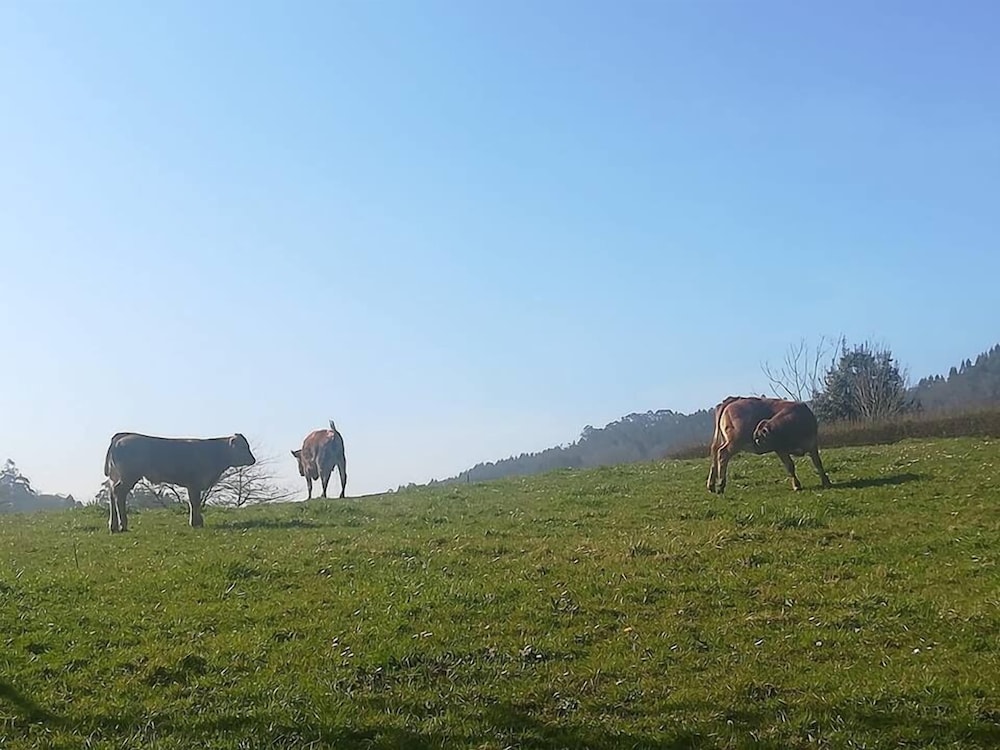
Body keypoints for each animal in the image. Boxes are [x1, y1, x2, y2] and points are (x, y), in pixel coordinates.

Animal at [103, 432, 256, 532]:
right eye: (243, 447)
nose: (253, 460)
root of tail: (122, 436)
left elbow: (194, 502)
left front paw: (196, 521)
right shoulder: (194, 483)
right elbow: (195, 502)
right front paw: (196, 523)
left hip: (116, 477)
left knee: (111, 493)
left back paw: (113, 525)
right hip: (128, 476)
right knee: (119, 494)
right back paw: (123, 525)